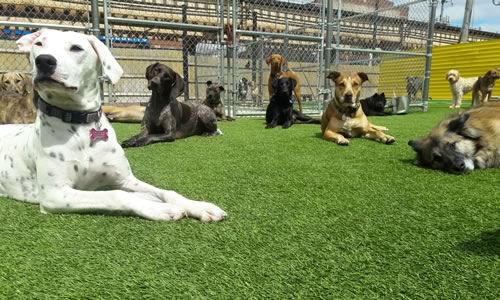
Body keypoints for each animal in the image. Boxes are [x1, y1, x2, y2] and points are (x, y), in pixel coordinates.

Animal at [0, 29, 227, 223]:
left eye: (76, 48)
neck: (81, 125)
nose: (44, 61)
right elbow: (117, 195)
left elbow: (165, 192)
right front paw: (161, 208)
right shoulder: (55, 193)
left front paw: (199, 206)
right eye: (39, 44)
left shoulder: (126, 179)